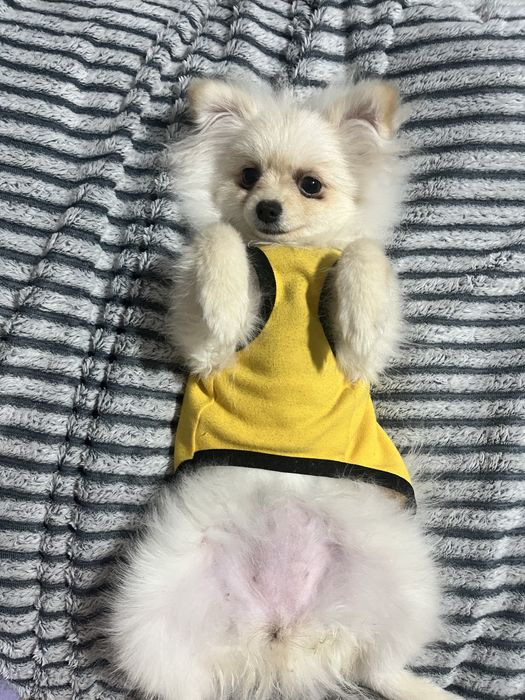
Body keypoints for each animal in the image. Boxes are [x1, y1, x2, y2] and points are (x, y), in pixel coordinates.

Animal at [109, 78, 461, 700]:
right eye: (248, 175)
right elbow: (218, 238)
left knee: (377, 665)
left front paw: (359, 312)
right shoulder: (205, 350)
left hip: (406, 576)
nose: (267, 209)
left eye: (310, 185)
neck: (291, 261)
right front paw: (225, 299)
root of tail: (280, 637)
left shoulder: (363, 359)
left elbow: (364, 254)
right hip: (148, 609)